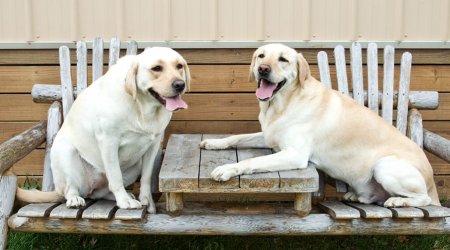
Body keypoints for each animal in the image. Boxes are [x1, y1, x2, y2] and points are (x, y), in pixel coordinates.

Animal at [16, 47, 190, 213]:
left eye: (179, 66)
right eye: (157, 68)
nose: (180, 84)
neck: (142, 107)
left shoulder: (153, 144)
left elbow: (146, 178)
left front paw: (146, 200)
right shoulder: (108, 141)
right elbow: (116, 177)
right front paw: (124, 201)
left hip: (135, 165)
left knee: (100, 193)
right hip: (66, 154)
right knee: (70, 189)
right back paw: (76, 199)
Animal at [200, 43, 440, 207]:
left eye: (283, 59)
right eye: (261, 56)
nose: (263, 69)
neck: (282, 104)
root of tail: (433, 183)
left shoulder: (295, 154)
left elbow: (253, 161)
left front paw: (227, 169)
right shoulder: (269, 135)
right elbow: (237, 137)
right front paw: (213, 143)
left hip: (385, 165)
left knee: (423, 199)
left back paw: (398, 201)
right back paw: (357, 196)